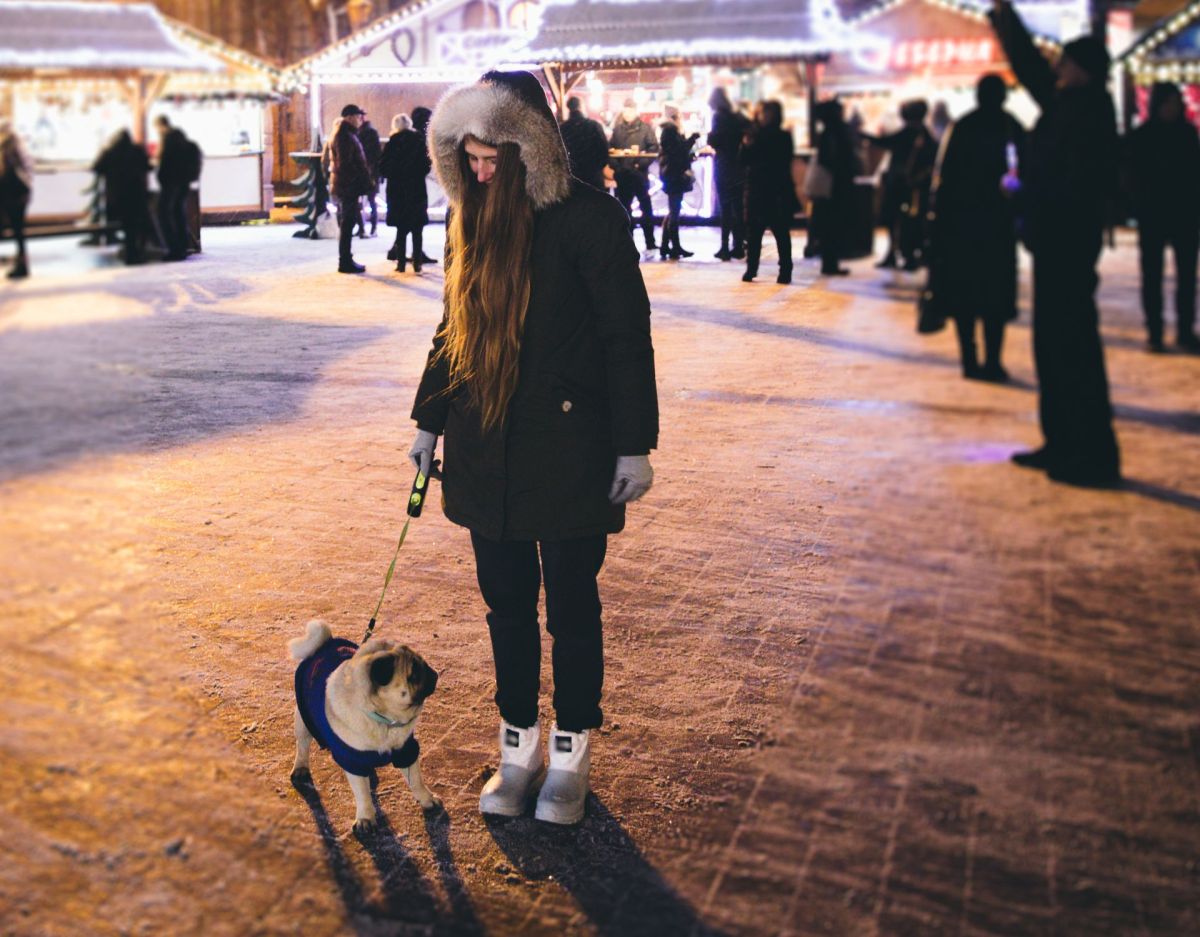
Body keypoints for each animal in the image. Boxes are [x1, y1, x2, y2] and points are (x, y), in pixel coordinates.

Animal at [289, 619, 441, 830]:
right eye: (414, 674)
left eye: (423, 665)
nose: (434, 673)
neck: (385, 720)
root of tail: (325, 642)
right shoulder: (352, 759)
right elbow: (361, 793)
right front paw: (365, 818)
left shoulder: (406, 751)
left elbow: (416, 781)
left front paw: (427, 800)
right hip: (303, 720)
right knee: (302, 746)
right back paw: (300, 768)